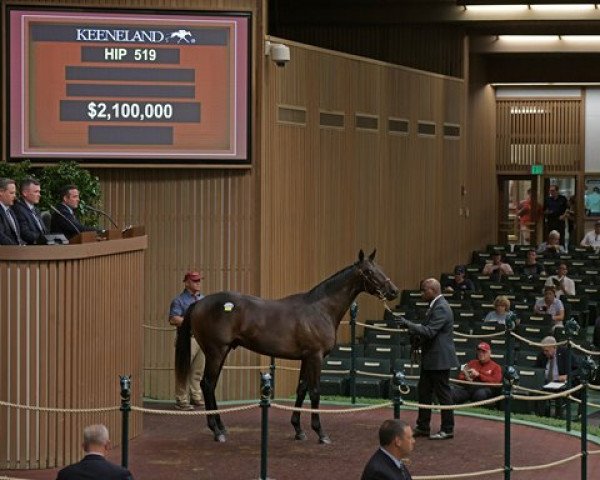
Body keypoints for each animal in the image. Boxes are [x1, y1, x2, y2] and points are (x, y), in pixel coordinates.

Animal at [173, 251, 398, 442]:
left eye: (380, 268)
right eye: (369, 271)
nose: (393, 291)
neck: (320, 309)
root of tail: (198, 304)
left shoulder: (306, 358)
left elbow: (302, 389)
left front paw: (298, 430)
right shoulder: (316, 357)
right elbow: (315, 391)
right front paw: (321, 433)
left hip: (221, 351)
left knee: (210, 385)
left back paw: (221, 426)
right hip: (216, 351)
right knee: (207, 384)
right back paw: (216, 431)